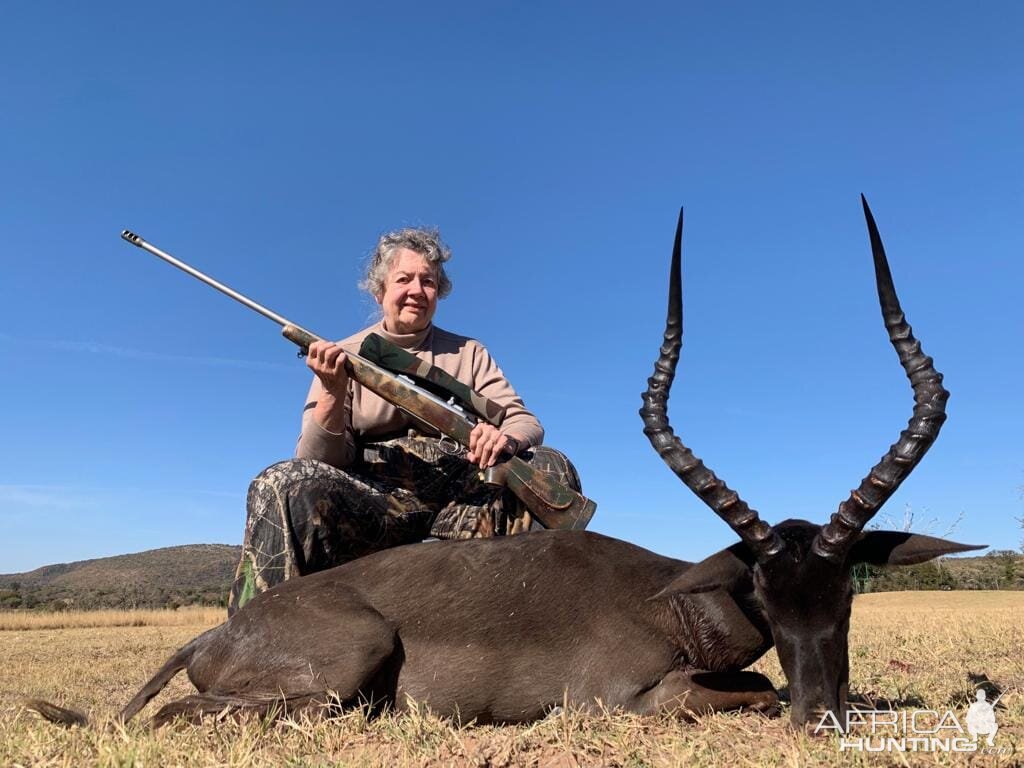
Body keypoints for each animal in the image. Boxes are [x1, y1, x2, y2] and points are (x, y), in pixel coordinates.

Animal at [25, 196, 983, 729]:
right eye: (766, 595)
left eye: (845, 596)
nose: (824, 718)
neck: (673, 599)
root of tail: (211, 633)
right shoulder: (625, 700)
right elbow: (753, 691)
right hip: (350, 657)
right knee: (189, 713)